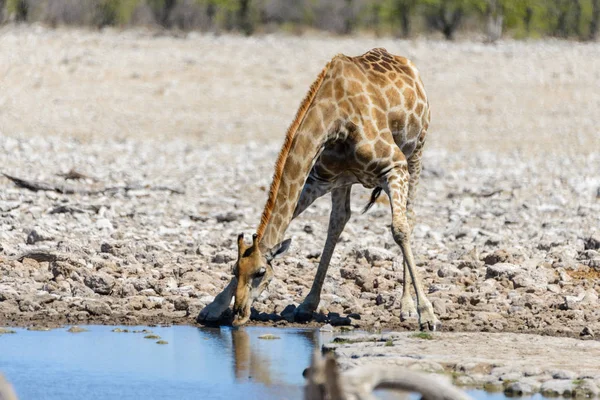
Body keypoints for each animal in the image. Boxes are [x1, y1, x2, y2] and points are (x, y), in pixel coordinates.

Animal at [199, 47, 438, 330]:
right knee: (338, 220)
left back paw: (407, 307)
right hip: (344, 181)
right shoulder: (318, 179)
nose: (239, 314)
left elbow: (400, 229)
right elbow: (295, 219)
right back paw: (308, 304)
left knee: (408, 217)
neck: (336, 120)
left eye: (260, 272)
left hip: (416, 153)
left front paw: (426, 314)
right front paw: (212, 308)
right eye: (234, 270)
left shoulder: (394, 166)